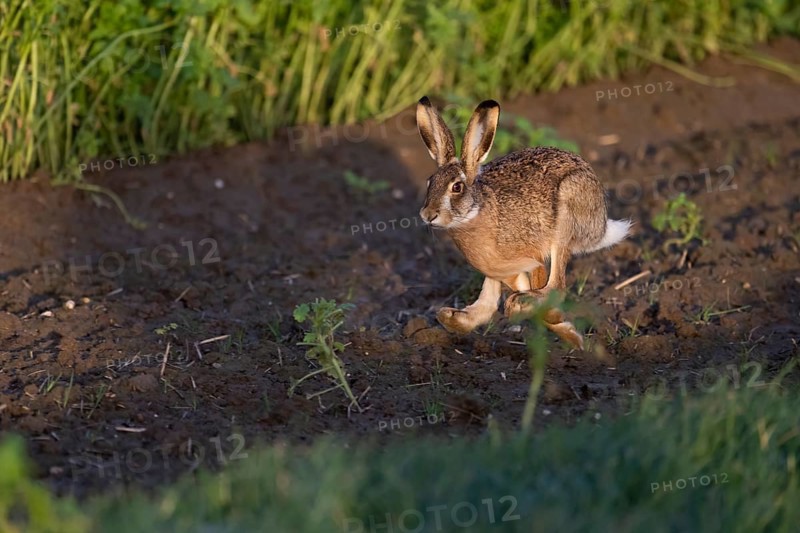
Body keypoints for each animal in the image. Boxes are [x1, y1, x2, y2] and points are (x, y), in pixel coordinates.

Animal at [416, 96, 631, 349]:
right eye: (430, 182)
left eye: (457, 187)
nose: (428, 215)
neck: (476, 210)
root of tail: (601, 226)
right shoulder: (501, 271)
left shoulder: (534, 255)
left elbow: (544, 289)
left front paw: (558, 324)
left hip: (567, 211)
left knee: (557, 285)